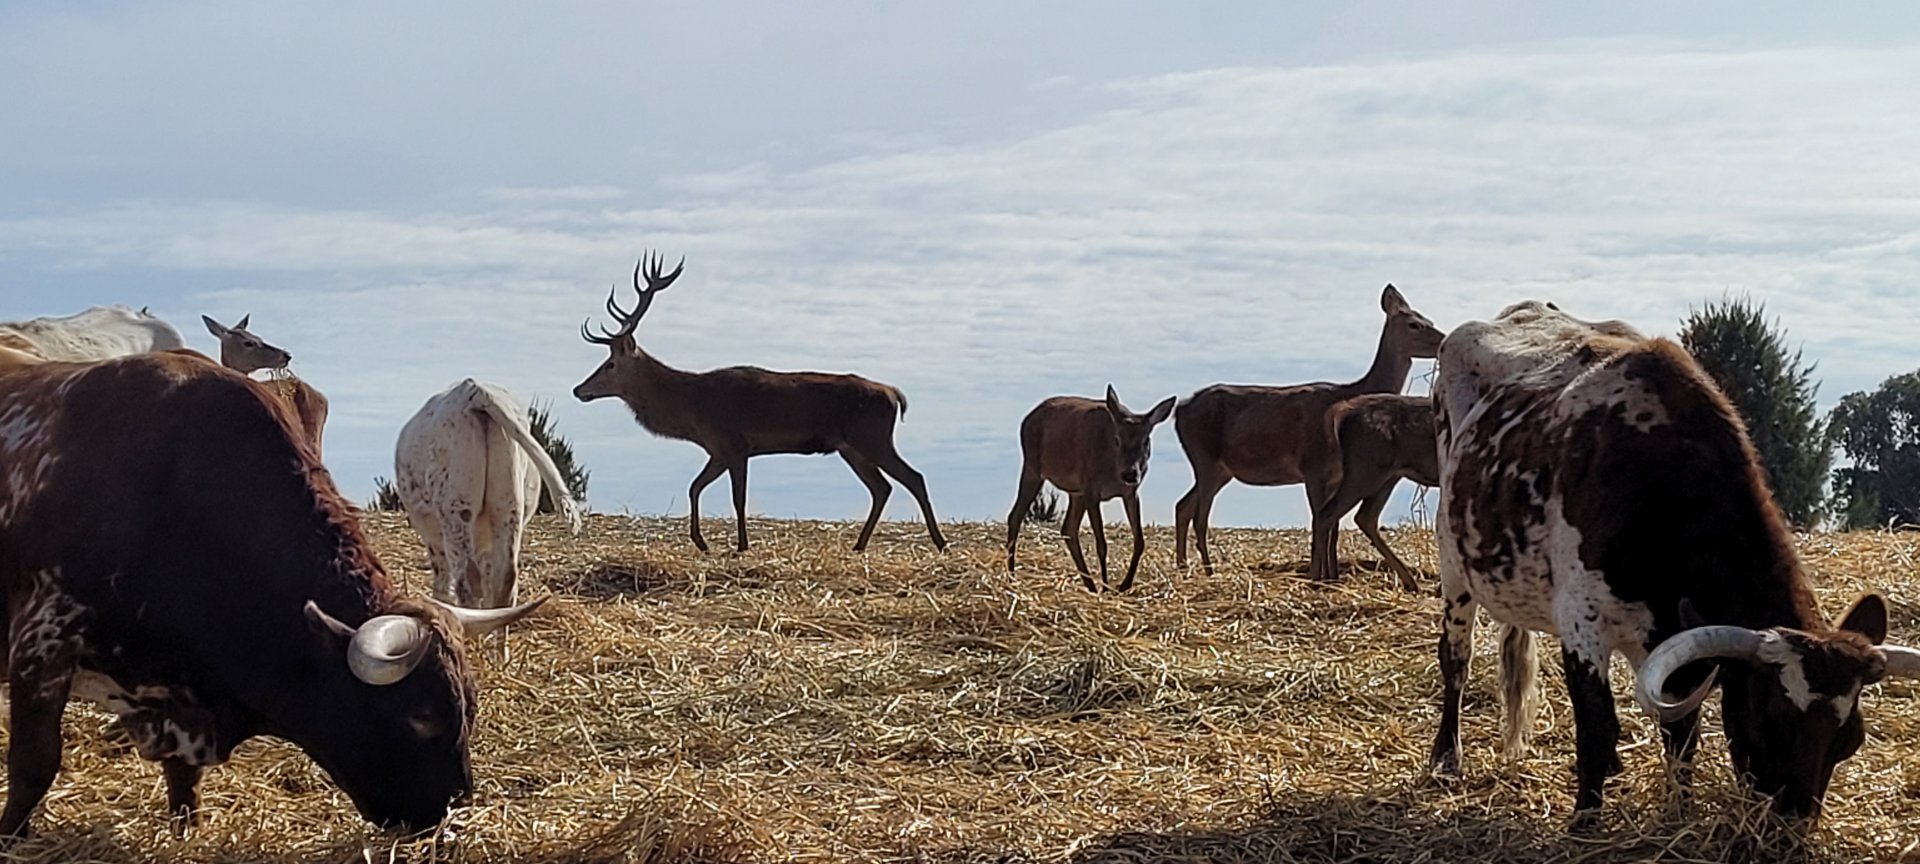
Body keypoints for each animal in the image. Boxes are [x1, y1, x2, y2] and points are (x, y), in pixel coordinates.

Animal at [573, 252, 947, 554]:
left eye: (610, 364)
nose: (579, 389)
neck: (692, 408)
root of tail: (895, 394)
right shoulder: (718, 450)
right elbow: (694, 487)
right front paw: (703, 542)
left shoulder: (733, 443)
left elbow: (737, 498)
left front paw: (740, 544)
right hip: (850, 447)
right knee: (881, 487)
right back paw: (859, 544)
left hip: (872, 436)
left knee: (913, 477)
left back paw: (940, 541)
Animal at [1006, 385, 1178, 593]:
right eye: (1117, 439)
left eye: (1146, 440)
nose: (1130, 473)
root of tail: (1027, 419)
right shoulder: (1091, 491)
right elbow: (1101, 544)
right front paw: (1106, 586)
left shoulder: (1131, 493)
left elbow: (1140, 541)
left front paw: (1125, 584)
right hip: (1033, 467)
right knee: (1015, 516)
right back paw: (1011, 577)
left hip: (1075, 491)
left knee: (1068, 529)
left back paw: (1089, 584)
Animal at [1306, 393, 1438, 590]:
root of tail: (1341, 412)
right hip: (1366, 470)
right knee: (1326, 514)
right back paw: (1316, 580)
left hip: (1387, 476)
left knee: (1365, 517)